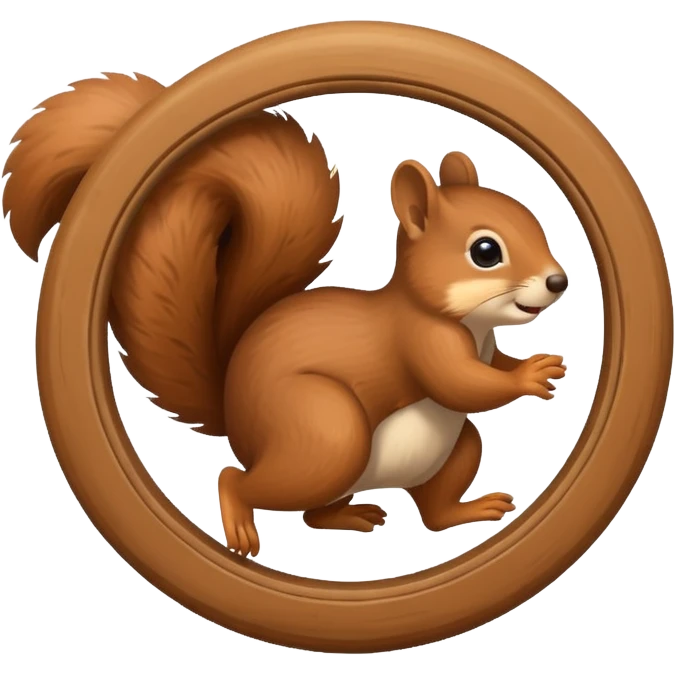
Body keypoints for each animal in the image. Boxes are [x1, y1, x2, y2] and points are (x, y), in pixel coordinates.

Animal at [4, 73, 568, 558]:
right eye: (485, 251)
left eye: (532, 220)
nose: (558, 281)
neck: (468, 322)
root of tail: (238, 424)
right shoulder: (417, 339)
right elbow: (460, 383)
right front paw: (530, 374)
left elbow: (487, 370)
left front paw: (530, 366)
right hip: (326, 435)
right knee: (240, 480)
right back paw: (240, 527)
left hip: (450, 447)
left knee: (420, 509)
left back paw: (433, 512)